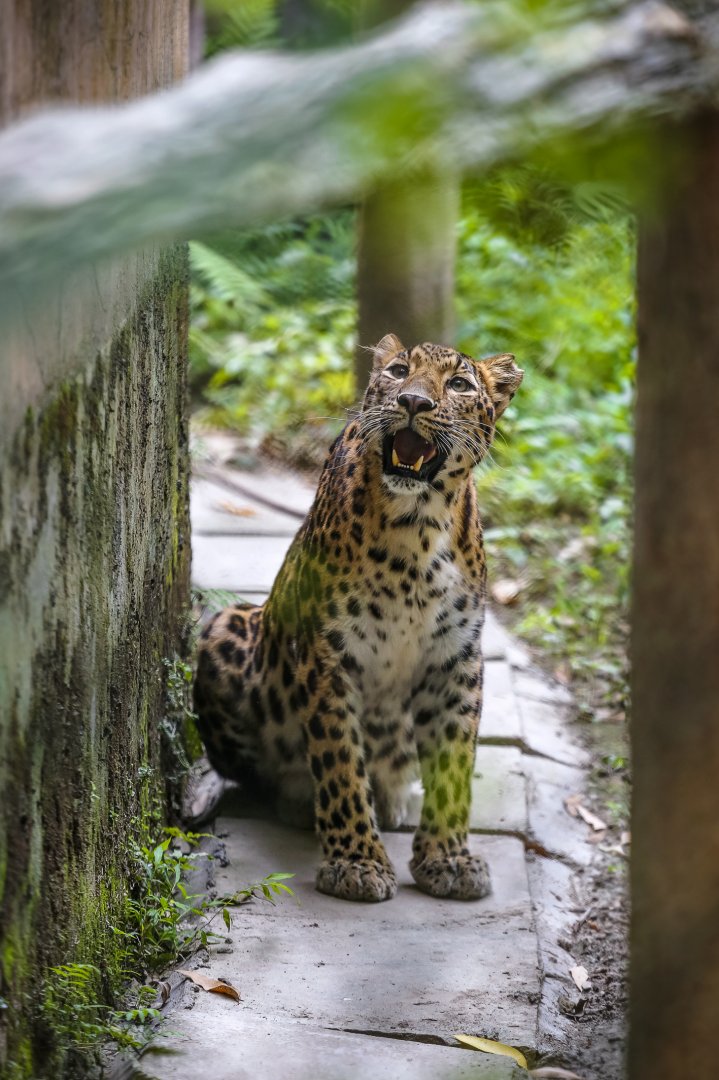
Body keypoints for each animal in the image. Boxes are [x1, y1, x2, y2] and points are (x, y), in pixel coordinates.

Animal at [193, 334, 523, 903]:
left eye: (459, 384)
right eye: (399, 372)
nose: (413, 401)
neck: (419, 528)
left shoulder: (456, 657)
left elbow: (455, 762)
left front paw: (448, 858)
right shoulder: (328, 650)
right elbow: (339, 758)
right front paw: (356, 862)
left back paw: (390, 798)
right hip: (225, 628)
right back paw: (300, 800)